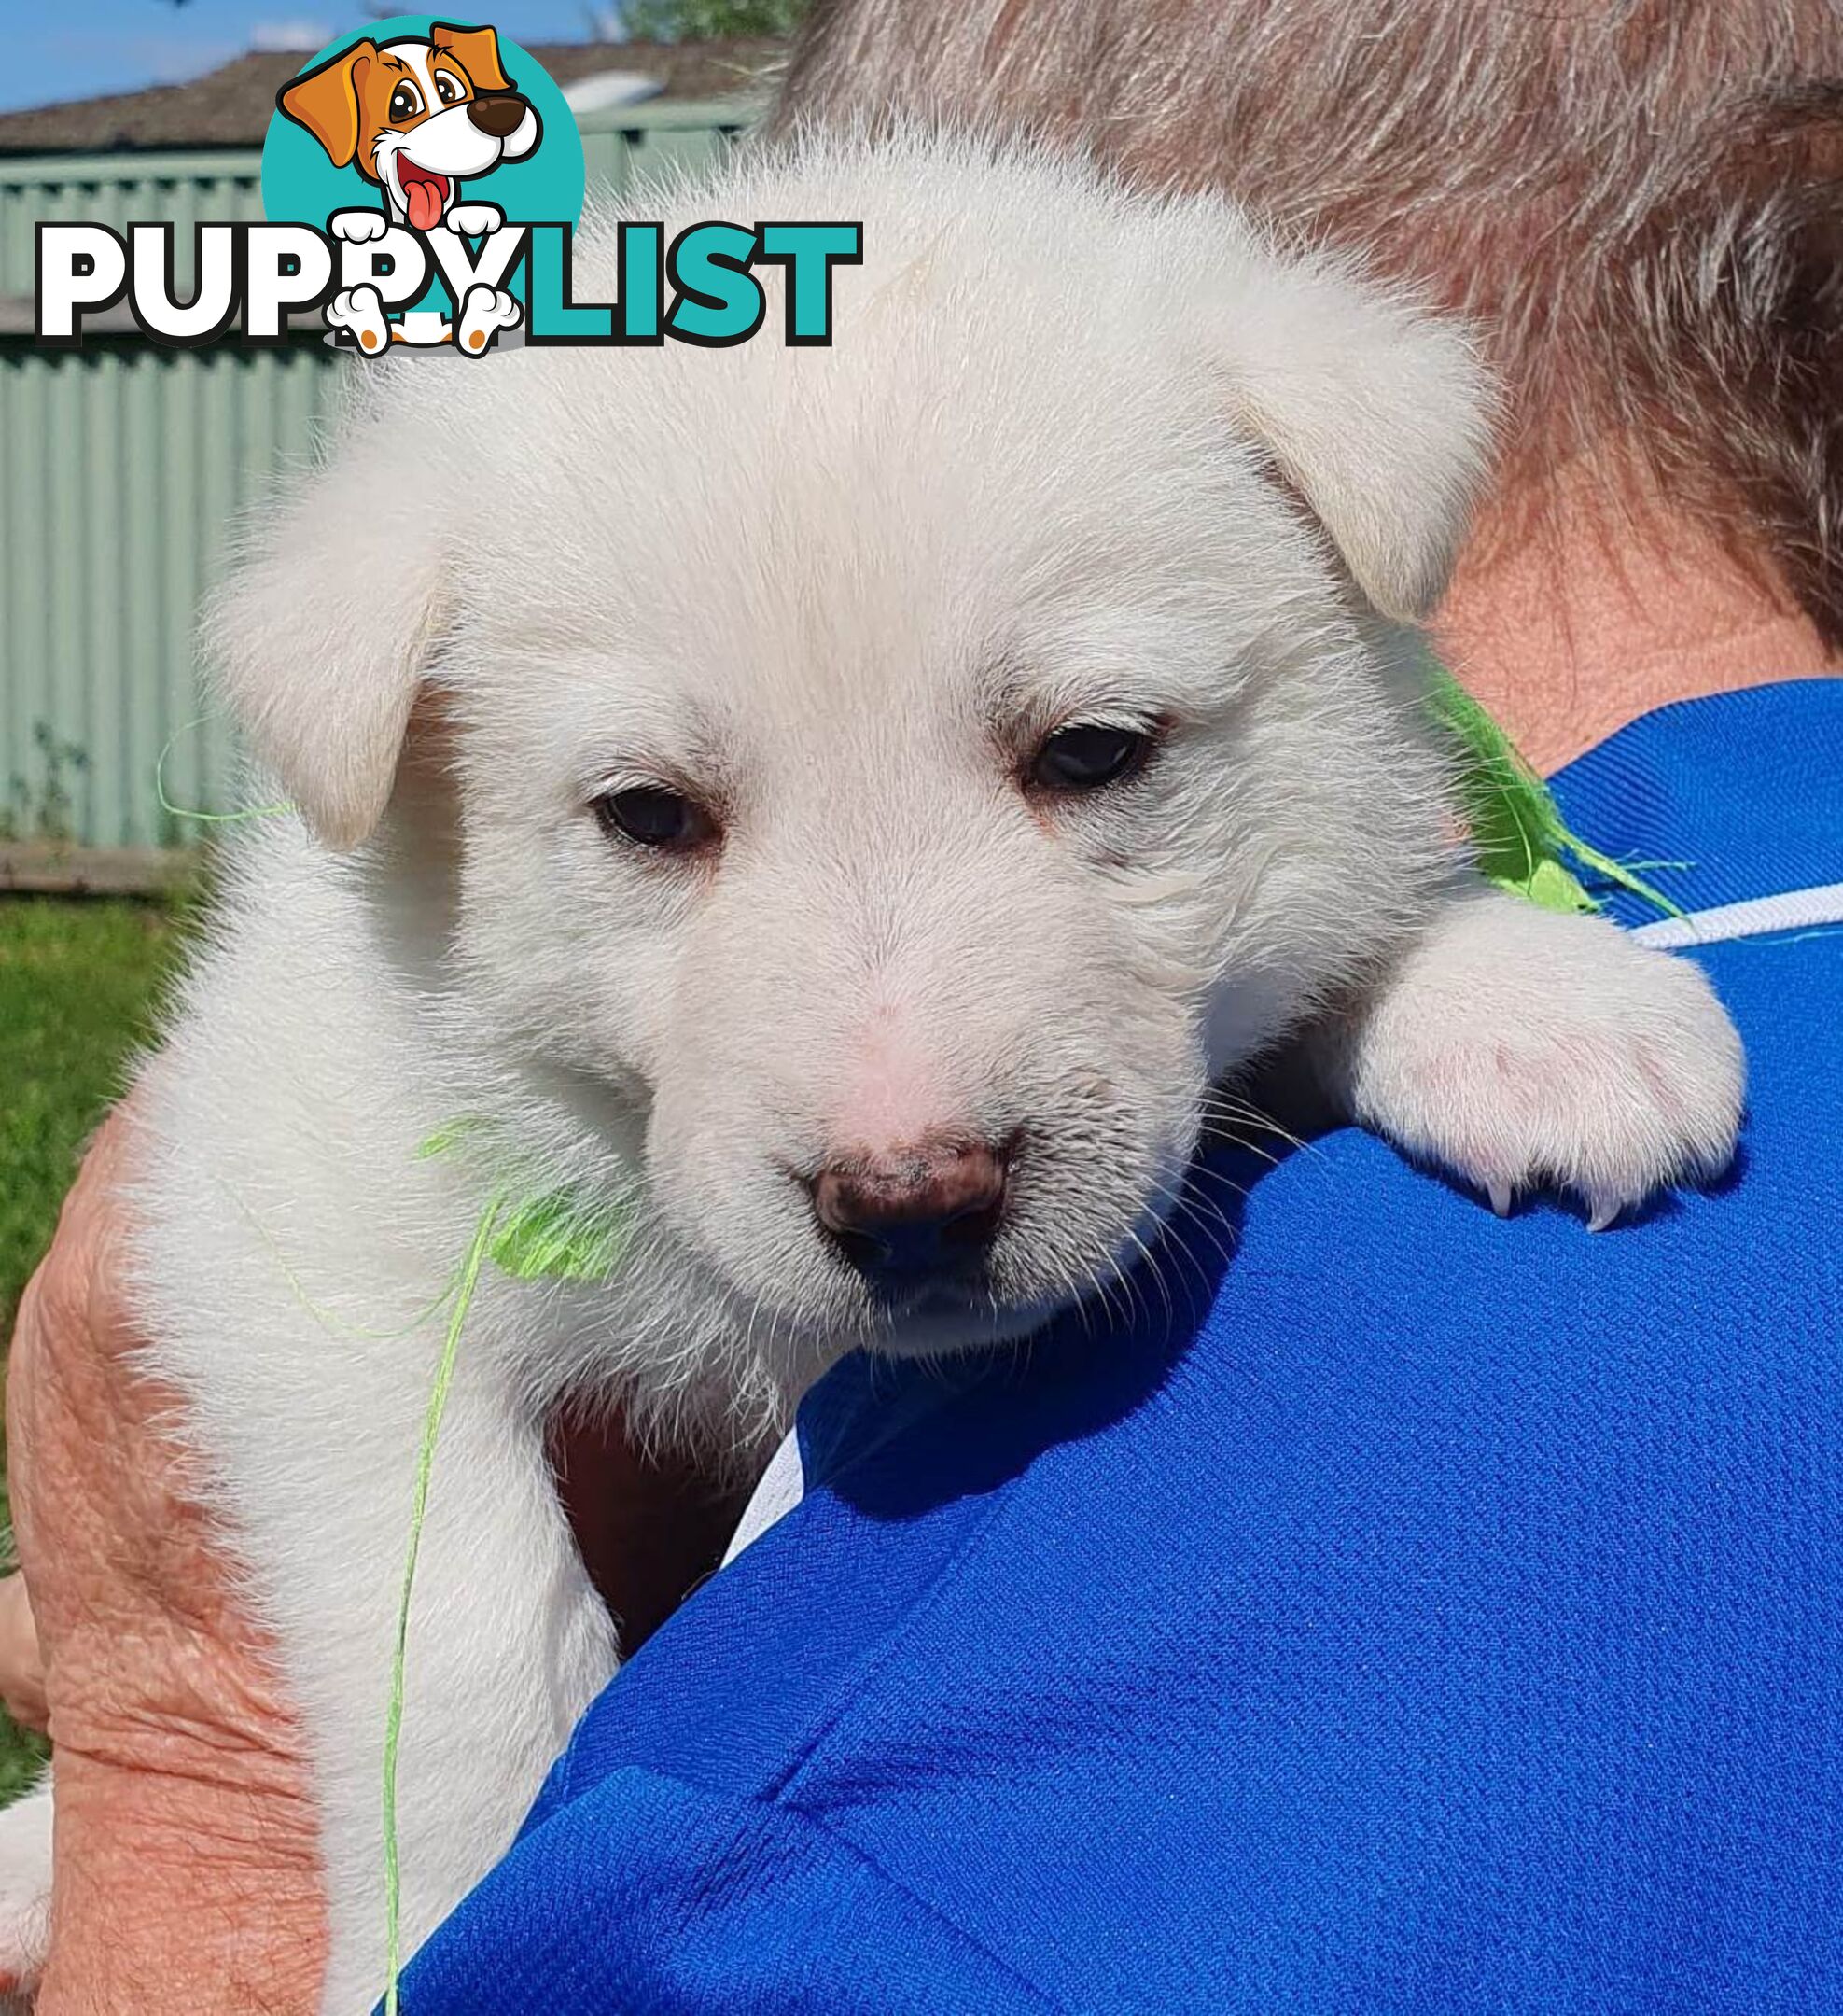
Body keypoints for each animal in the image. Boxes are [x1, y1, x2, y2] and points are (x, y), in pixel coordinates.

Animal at [0, 133, 1741, 2008]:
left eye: (1094, 754)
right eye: (647, 816)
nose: (912, 1203)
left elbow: (1342, 927)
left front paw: (1530, 999)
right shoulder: (290, 1235)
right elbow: (462, 1621)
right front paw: (429, 1923)